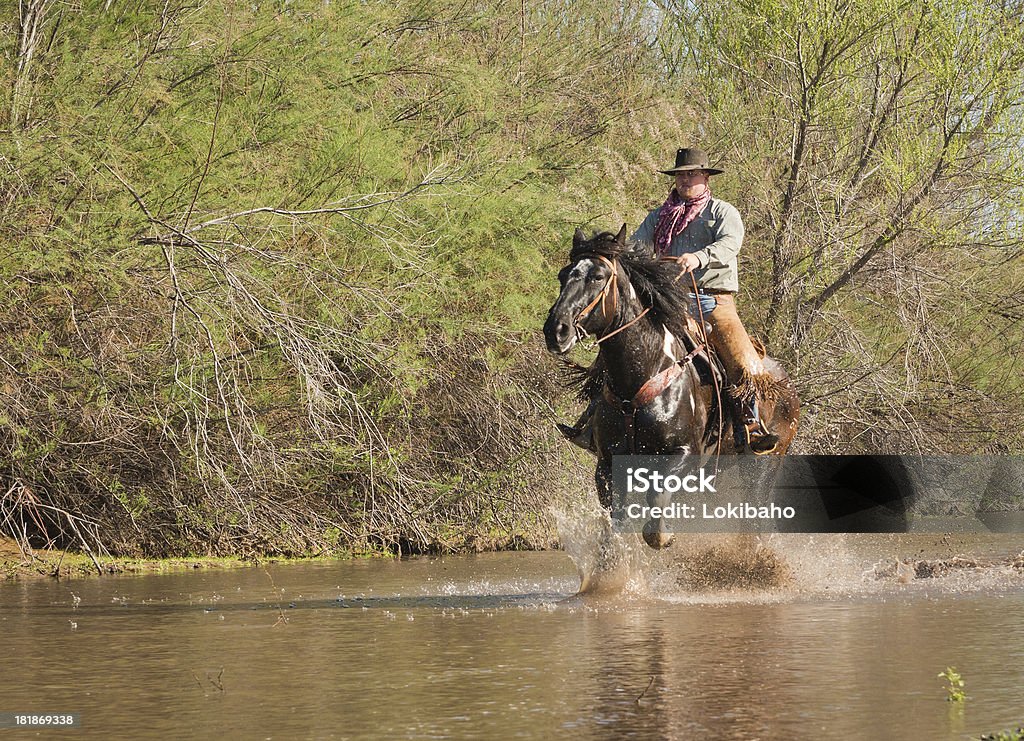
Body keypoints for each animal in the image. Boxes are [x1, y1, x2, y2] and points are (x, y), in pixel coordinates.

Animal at [544, 226, 798, 544]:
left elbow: (656, 514)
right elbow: (614, 530)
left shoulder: (684, 455)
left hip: (763, 466)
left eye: (598, 276)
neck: (640, 378)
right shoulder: (607, 465)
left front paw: (666, 536)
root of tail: (787, 387)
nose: (556, 330)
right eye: (563, 275)